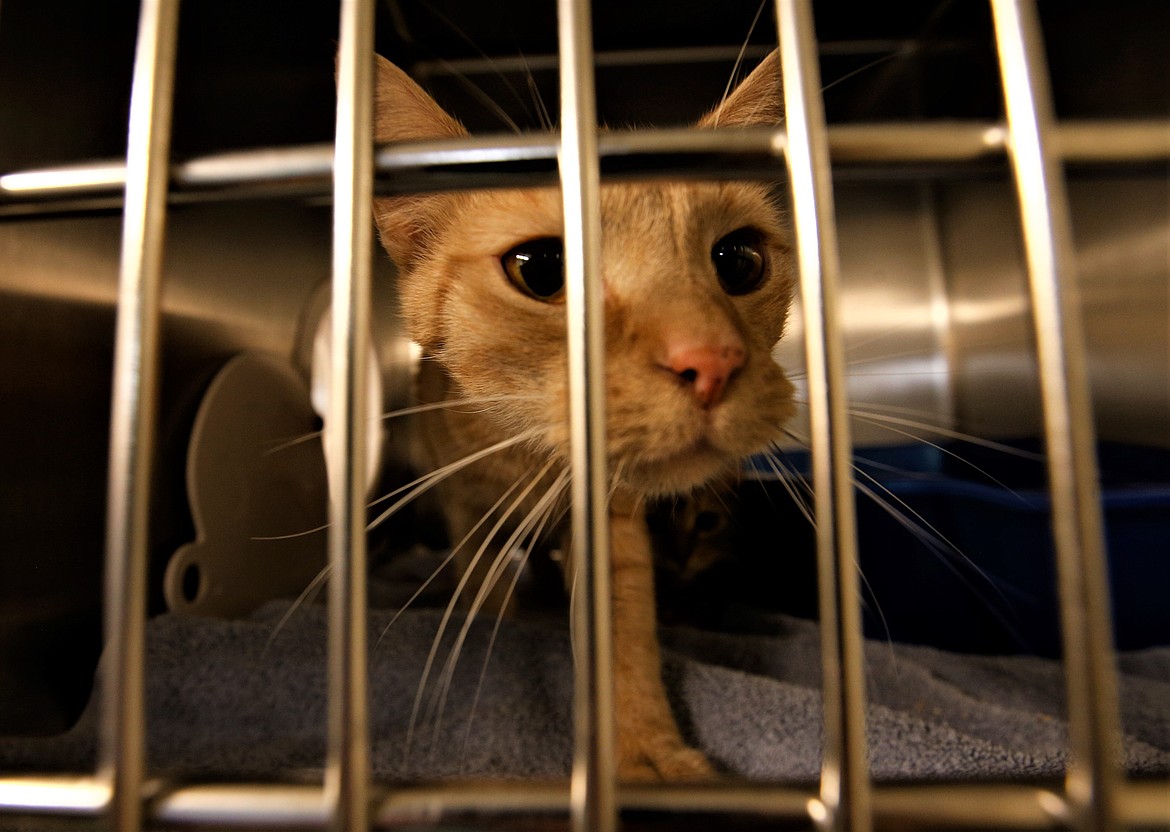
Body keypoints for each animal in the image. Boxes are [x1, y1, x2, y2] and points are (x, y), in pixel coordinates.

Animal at [374, 52, 795, 781]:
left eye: (740, 261)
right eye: (543, 269)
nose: (710, 360)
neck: (532, 464)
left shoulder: (613, 525)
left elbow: (623, 632)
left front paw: (646, 746)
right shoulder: (467, 512)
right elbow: (483, 589)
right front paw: (506, 628)